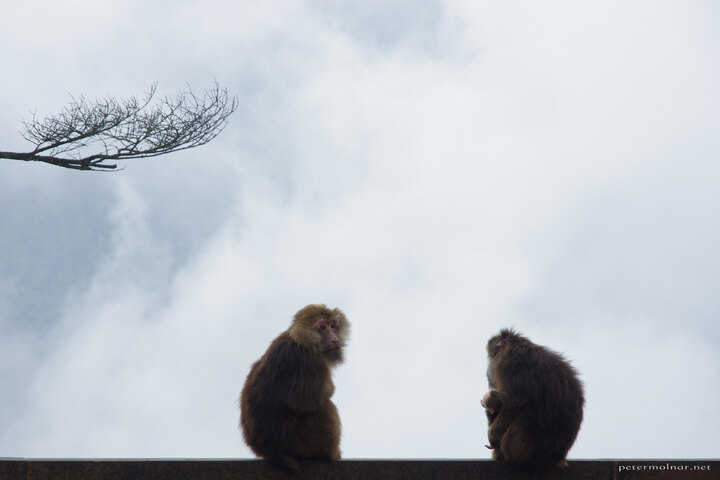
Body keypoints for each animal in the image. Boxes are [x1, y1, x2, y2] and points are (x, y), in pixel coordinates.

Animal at [239, 304, 350, 472]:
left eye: (333, 326)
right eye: (322, 327)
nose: (334, 339)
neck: (302, 341)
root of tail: (269, 451)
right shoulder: (310, 362)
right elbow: (310, 402)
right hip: (300, 443)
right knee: (326, 407)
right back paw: (329, 454)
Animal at [482, 328, 584, 468]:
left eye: (492, 354)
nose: (487, 369)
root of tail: (556, 456)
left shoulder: (509, 366)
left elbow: (514, 402)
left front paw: (492, 436)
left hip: (520, 447)